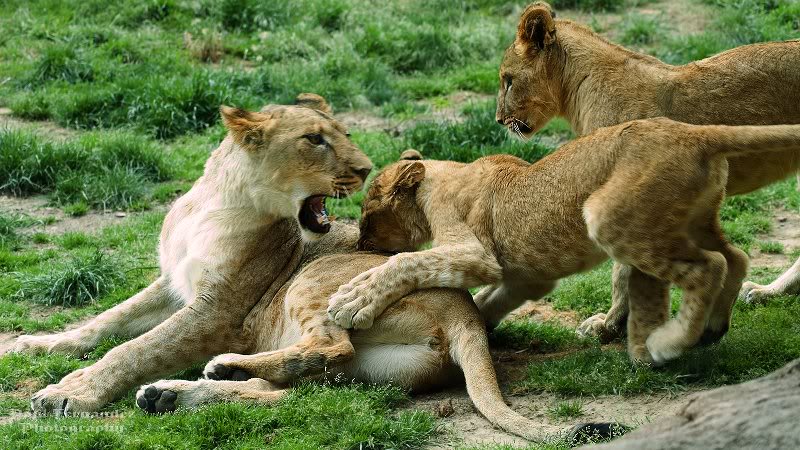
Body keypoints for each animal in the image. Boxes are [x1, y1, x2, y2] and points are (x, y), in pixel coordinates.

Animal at [10, 95, 541, 441]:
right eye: (315, 139)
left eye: (346, 135)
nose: (366, 168)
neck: (218, 203)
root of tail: (465, 313)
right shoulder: (173, 284)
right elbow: (105, 322)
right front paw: (35, 345)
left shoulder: (218, 312)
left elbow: (134, 349)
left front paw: (68, 393)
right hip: (366, 372)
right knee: (299, 390)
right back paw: (176, 393)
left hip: (315, 282)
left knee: (329, 347)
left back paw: (214, 372)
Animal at [327, 118, 800, 364]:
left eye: (367, 213)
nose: (361, 244)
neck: (438, 176)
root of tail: (697, 133)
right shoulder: (526, 278)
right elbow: (488, 301)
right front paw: (480, 326)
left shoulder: (474, 250)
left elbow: (407, 261)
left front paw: (352, 301)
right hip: (694, 220)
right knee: (735, 257)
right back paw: (714, 329)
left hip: (609, 219)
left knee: (709, 267)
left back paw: (666, 344)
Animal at [495, 1, 800, 341]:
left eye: (508, 80)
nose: (498, 120)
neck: (577, 89)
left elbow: (621, 271)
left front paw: (609, 324)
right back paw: (763, 294)